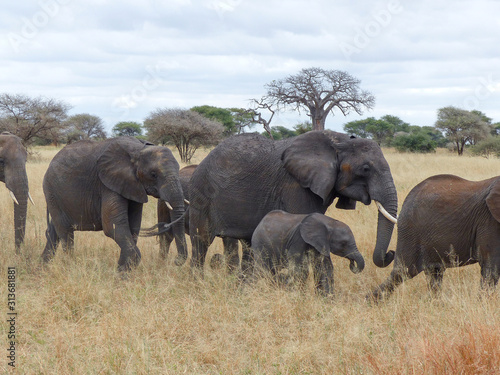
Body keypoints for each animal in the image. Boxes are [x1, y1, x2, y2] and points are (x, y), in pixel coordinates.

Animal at [42, 137, 187, 272]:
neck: (139, 149)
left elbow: (133, 225)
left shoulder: (133, 186)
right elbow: (113, 226)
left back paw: (43, 266)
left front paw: (122, 270)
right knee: (66, 233)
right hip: (52, 191)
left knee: (55, 231)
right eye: (153, 174)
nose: (176, 261)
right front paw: (122, 272)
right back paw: (70, 265)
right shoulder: (107, 183)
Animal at [188, 132, 398, 274]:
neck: (339, 141)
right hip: (201, 195)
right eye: (366, 168)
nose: (391, 253)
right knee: (201, 242)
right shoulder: (295, 185)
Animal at [370, 174, 500, 302]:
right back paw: (371, 301)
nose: (390, 252)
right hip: (410, 231)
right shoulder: (489, 221)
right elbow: (491, 268)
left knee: (434, 272)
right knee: (403, 271)